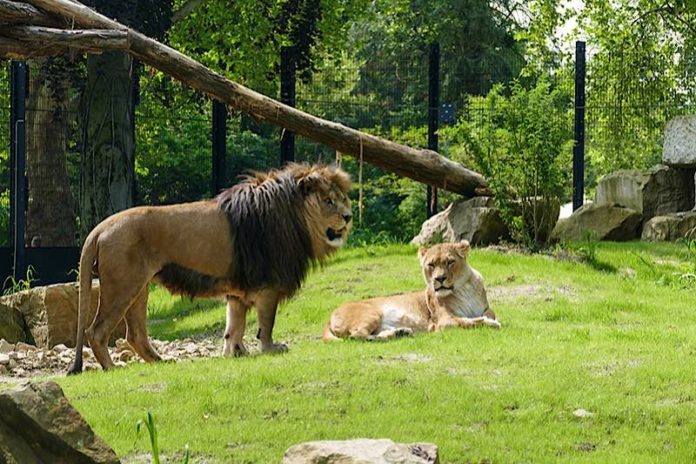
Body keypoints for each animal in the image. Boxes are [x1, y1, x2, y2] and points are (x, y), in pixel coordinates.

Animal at [68, 163, 354, 374]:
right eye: (329, 201)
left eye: (343, 198)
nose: (349, 216)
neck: (295, 218)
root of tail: (100, 228)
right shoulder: (268, 284)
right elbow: (266, 323)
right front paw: (270, 349)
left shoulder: (239, 289)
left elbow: (234, 326)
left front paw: (236, 353)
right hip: (123, 286)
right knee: (96, 331)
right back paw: (112, 367)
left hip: (139, 288)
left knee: (135, 334)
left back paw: (161, 362)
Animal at [324, 239, 498, 340]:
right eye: (431, 265)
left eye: (450, 262)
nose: (439, 279)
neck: (463, 289)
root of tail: (329, 317)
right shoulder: (443, 321)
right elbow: (467, 321)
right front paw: (490, 323)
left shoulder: (486, 308)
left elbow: (489, 313)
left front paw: (490, 319)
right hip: (371, 313)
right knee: (357, 335)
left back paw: (401, 332)